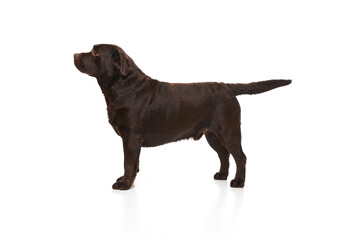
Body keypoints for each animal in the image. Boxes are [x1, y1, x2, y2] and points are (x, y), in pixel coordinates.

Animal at [74, 43, 292, 189]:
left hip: (229, 131)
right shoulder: (132, 140)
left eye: (95, 52)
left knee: (240, 156)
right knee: (224, 155)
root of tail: (227, 87)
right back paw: (222, 175)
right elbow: (135, 164)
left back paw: (238, 182)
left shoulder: (131, 138)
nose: (75, 54)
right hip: (212, 135)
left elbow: (128, 162)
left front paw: (124, 184)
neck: (123, 86)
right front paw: (127, 180)